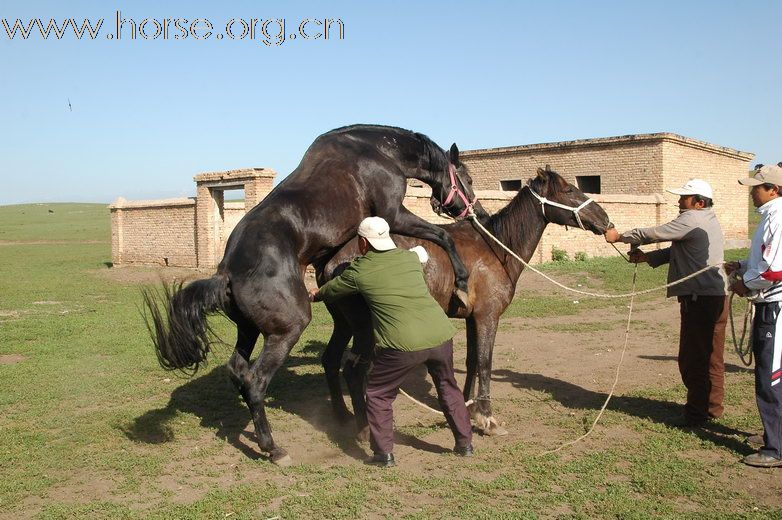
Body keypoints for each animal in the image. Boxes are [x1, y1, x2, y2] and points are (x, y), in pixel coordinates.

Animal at [145, 124, 490, 466]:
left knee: (238, 371)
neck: (377, 151)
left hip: (249, 330)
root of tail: (227, 272)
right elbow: (442, 235)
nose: (479, 212)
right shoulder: (393, 214)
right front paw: (461, 282)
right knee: (256, 382)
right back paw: (274, 448)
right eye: (469, 179)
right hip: (287, 330)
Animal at [316, 167, 612, 438]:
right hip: (364, 328)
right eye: (568, 190)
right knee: (354, 371)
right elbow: (485, 363)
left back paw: (342, 416)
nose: (605, 219)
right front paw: (487, 418)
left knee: (331, 359)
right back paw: (364, 429)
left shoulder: (472, 318)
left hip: (344, 324)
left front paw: (468, 409)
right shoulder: (488, 317)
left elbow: (472, 362)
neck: (498, 247)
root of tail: (333, 261)